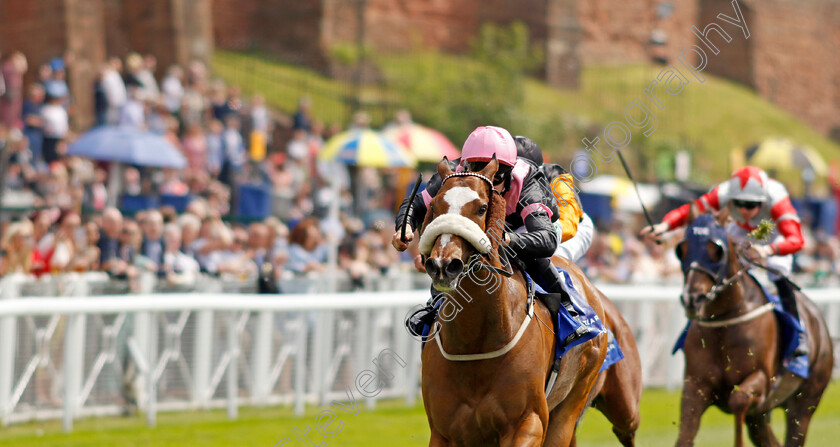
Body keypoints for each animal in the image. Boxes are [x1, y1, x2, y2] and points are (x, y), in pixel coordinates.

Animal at [416, 159, 640, 446]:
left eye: (482, 208)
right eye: (434, 206)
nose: (443, 264)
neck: (475, 343)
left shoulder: (527, 421)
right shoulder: (444, 431)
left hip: (583, 401)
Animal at [676, 208, 832, 446]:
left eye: (716, 250)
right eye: (682, 249)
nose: (692, 299)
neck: (724, 323)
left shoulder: (761, 380)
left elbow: (738, 399)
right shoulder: (696, 385)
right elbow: (685, 434)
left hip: (806, 400)